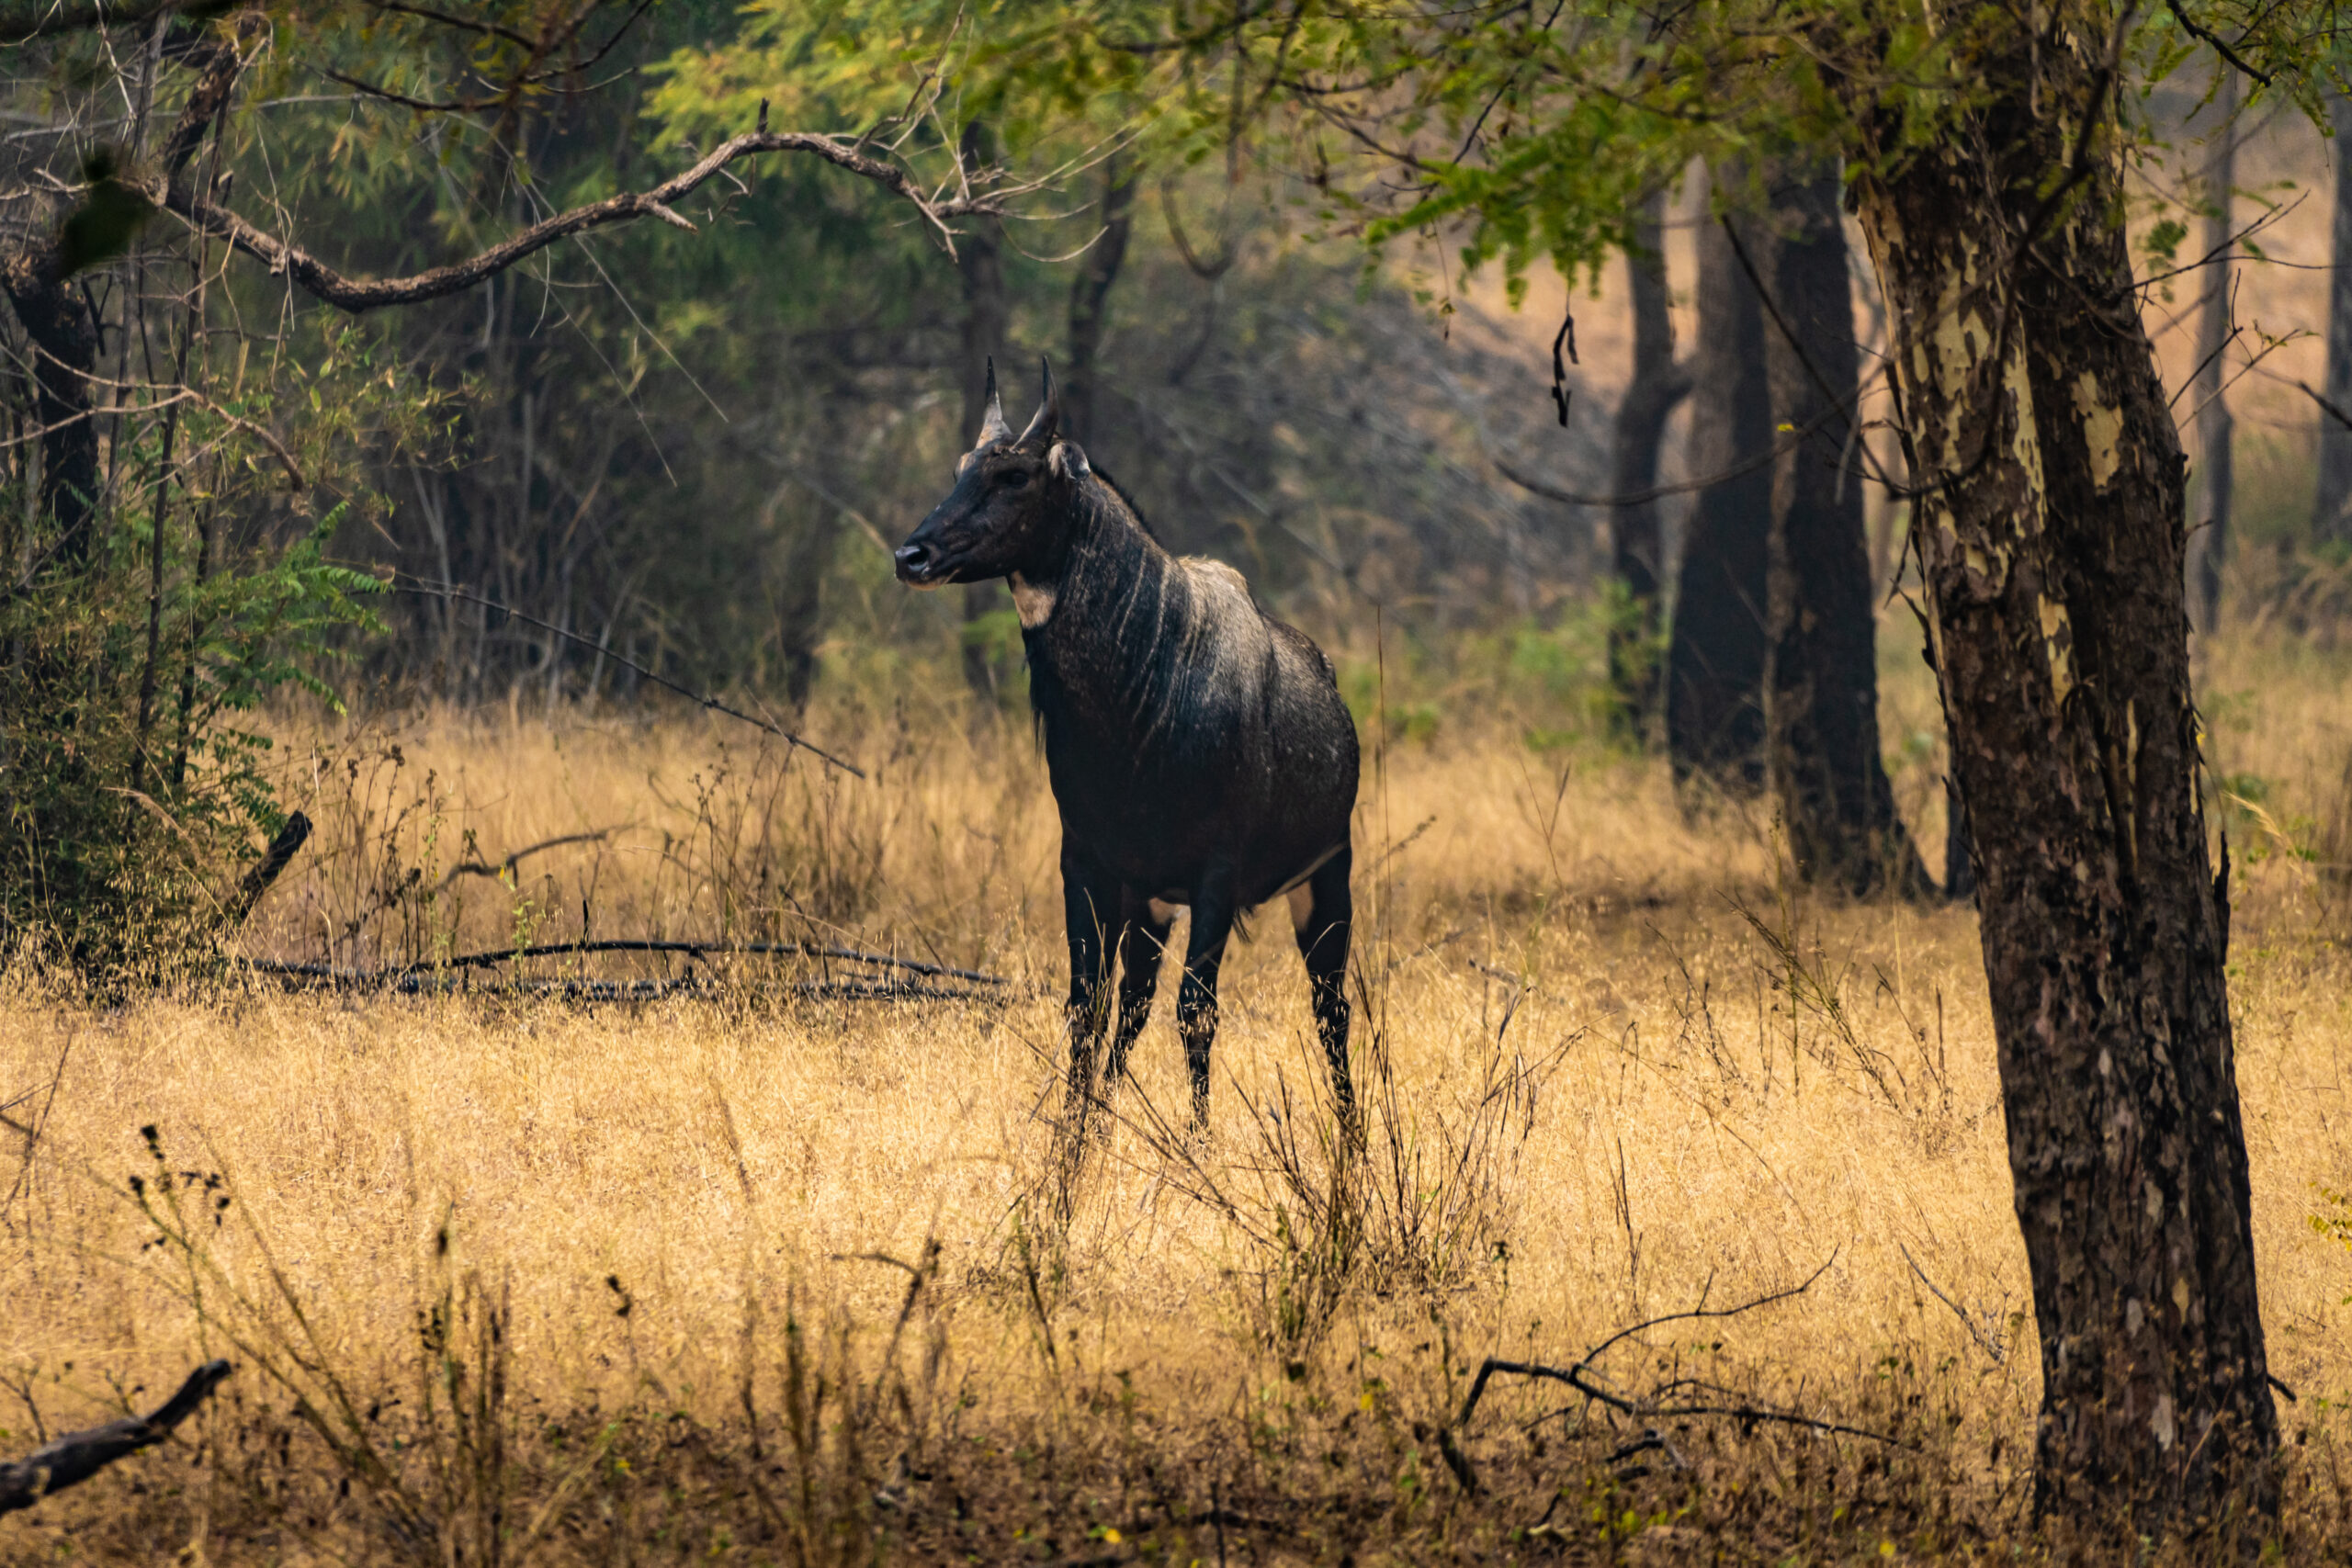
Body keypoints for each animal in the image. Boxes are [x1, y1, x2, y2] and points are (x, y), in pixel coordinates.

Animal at [888, 362, 1363, 1133]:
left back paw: (1353, 1142)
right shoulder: (1089, 865)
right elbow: (1089, 1008)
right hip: (1154, 906)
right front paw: (1073, 1144)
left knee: (1331, 1009)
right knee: (1136, 1007)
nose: (912, 555)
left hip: (1325, 881)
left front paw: (1198, 1144)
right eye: (961, 467)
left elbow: (1197, 1012)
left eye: (1015, 474)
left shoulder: (1217, 875)